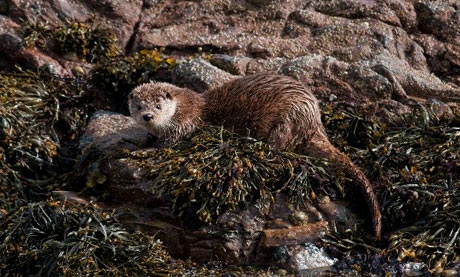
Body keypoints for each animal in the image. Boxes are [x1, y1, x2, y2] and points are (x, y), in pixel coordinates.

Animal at [127, 73, 382, 239]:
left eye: (158, 106)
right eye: (139, 106)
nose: (148, 116)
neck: (183, 107)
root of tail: (314, 120)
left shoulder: (185, 124)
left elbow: (168, 144)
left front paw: (141, 151)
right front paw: (142, 140)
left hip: (288, 118)